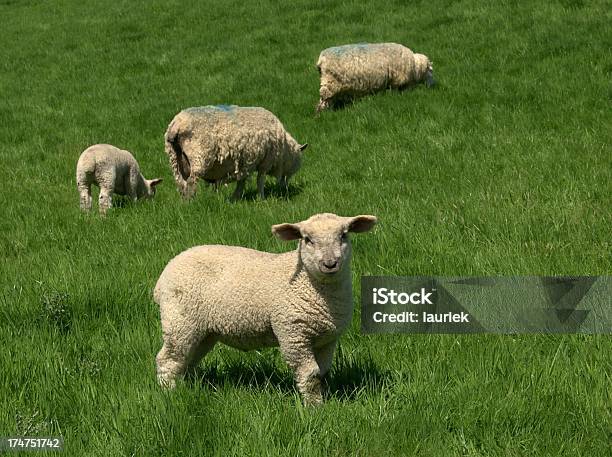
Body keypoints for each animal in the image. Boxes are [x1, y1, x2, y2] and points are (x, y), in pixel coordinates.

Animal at [153, 212, 376, 404]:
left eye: (344, 235)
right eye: (307, 239)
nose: (330, 264)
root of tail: (165, 273)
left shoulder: (326, 339)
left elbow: (322, 373)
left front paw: (323, 401)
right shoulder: (293, 335)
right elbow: (310, 376)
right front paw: (315, 408)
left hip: (202, 331)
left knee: (186, 360)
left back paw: (185, 388)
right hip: (180, 321)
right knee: (168, 359)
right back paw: (169, 394)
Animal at [163, 107, 308, 201]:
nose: (285, 188)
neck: (284, 152)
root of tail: (177, 125)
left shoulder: (246, 163)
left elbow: (241, 181)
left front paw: (235, 198)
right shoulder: (264, 162)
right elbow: (259, 181)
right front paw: (261, 199)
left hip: (175, 160)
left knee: (182, 184)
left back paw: (184, 203)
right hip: (198, 157)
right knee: (191, 183)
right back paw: (191, 202)